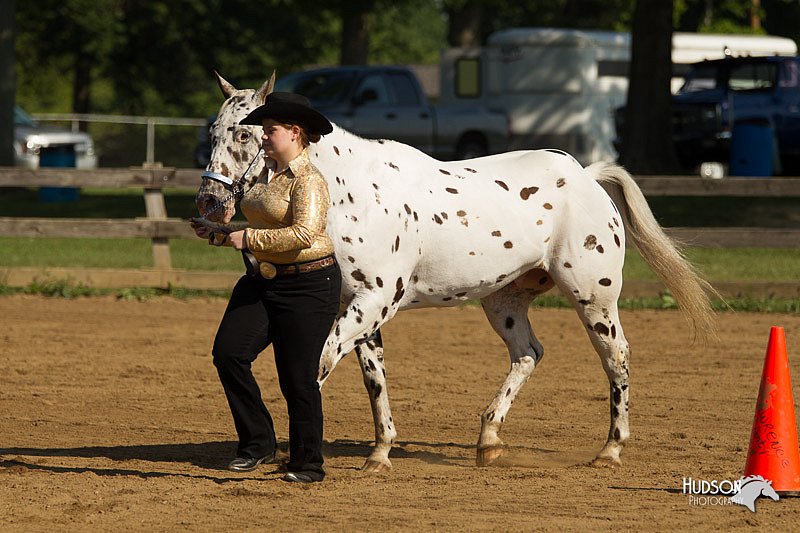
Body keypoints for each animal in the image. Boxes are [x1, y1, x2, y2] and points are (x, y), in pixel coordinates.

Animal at [195, 72, 720, 472]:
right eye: (213, 132)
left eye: (245, 134)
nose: (210, 204)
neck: (350, 191)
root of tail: (587, 176)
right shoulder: (359, 307)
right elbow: (372, 380)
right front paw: (379, 453)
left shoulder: (374, 302)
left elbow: (318, 365)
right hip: (504, 300)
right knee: (528, 353)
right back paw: (488, 440)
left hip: (594, 298)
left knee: (617, 359)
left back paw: (610, 449)